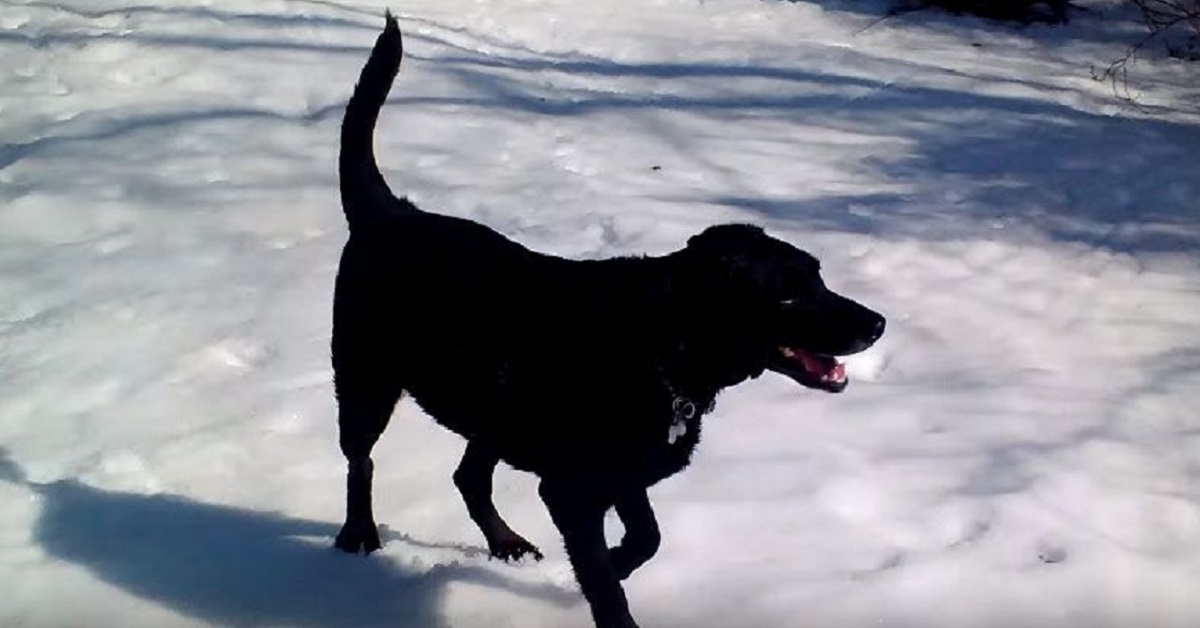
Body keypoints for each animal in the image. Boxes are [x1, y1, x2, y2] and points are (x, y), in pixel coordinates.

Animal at [333, 11, 888, 628]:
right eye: (790, 297)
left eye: (819, 276)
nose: (878, 323)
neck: (661, 346)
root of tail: (387, 213)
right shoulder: (573, 492)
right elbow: (604, 580)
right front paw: (607, 586)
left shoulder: (624, 474)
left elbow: (647, 537)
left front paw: (617, 561)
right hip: (365, 380)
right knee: (361, 462)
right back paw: (359, 534)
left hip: (490, 413)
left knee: (469, 477)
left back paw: (506, 543)